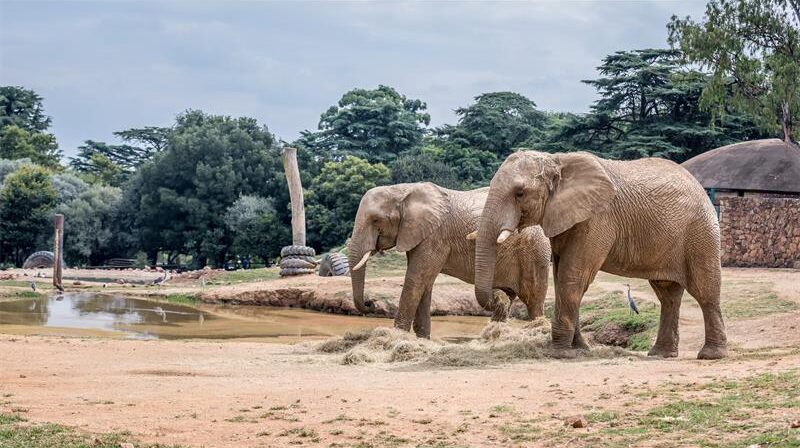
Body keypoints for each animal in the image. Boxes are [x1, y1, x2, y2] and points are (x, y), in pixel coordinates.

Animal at [348, 182, 551, 338]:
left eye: (376, 220)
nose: (370, 303)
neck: (402, 189)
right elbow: (425, 282)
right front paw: (423, 339)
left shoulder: (435, 237)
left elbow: (416, 280)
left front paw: (397, 336)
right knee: (508, 300)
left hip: (534, 254)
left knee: (533, 301)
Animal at [473, 151, 727, 359]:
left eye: (520, 193)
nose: (500, 295)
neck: (558, 161)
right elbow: (561, 276)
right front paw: (580, 349)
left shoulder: (597, 219)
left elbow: (573, 277)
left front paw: (559, 353)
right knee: (667, 294)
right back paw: (660, 354)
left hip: (700, 232)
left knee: (705, 290)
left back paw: (711, 355)